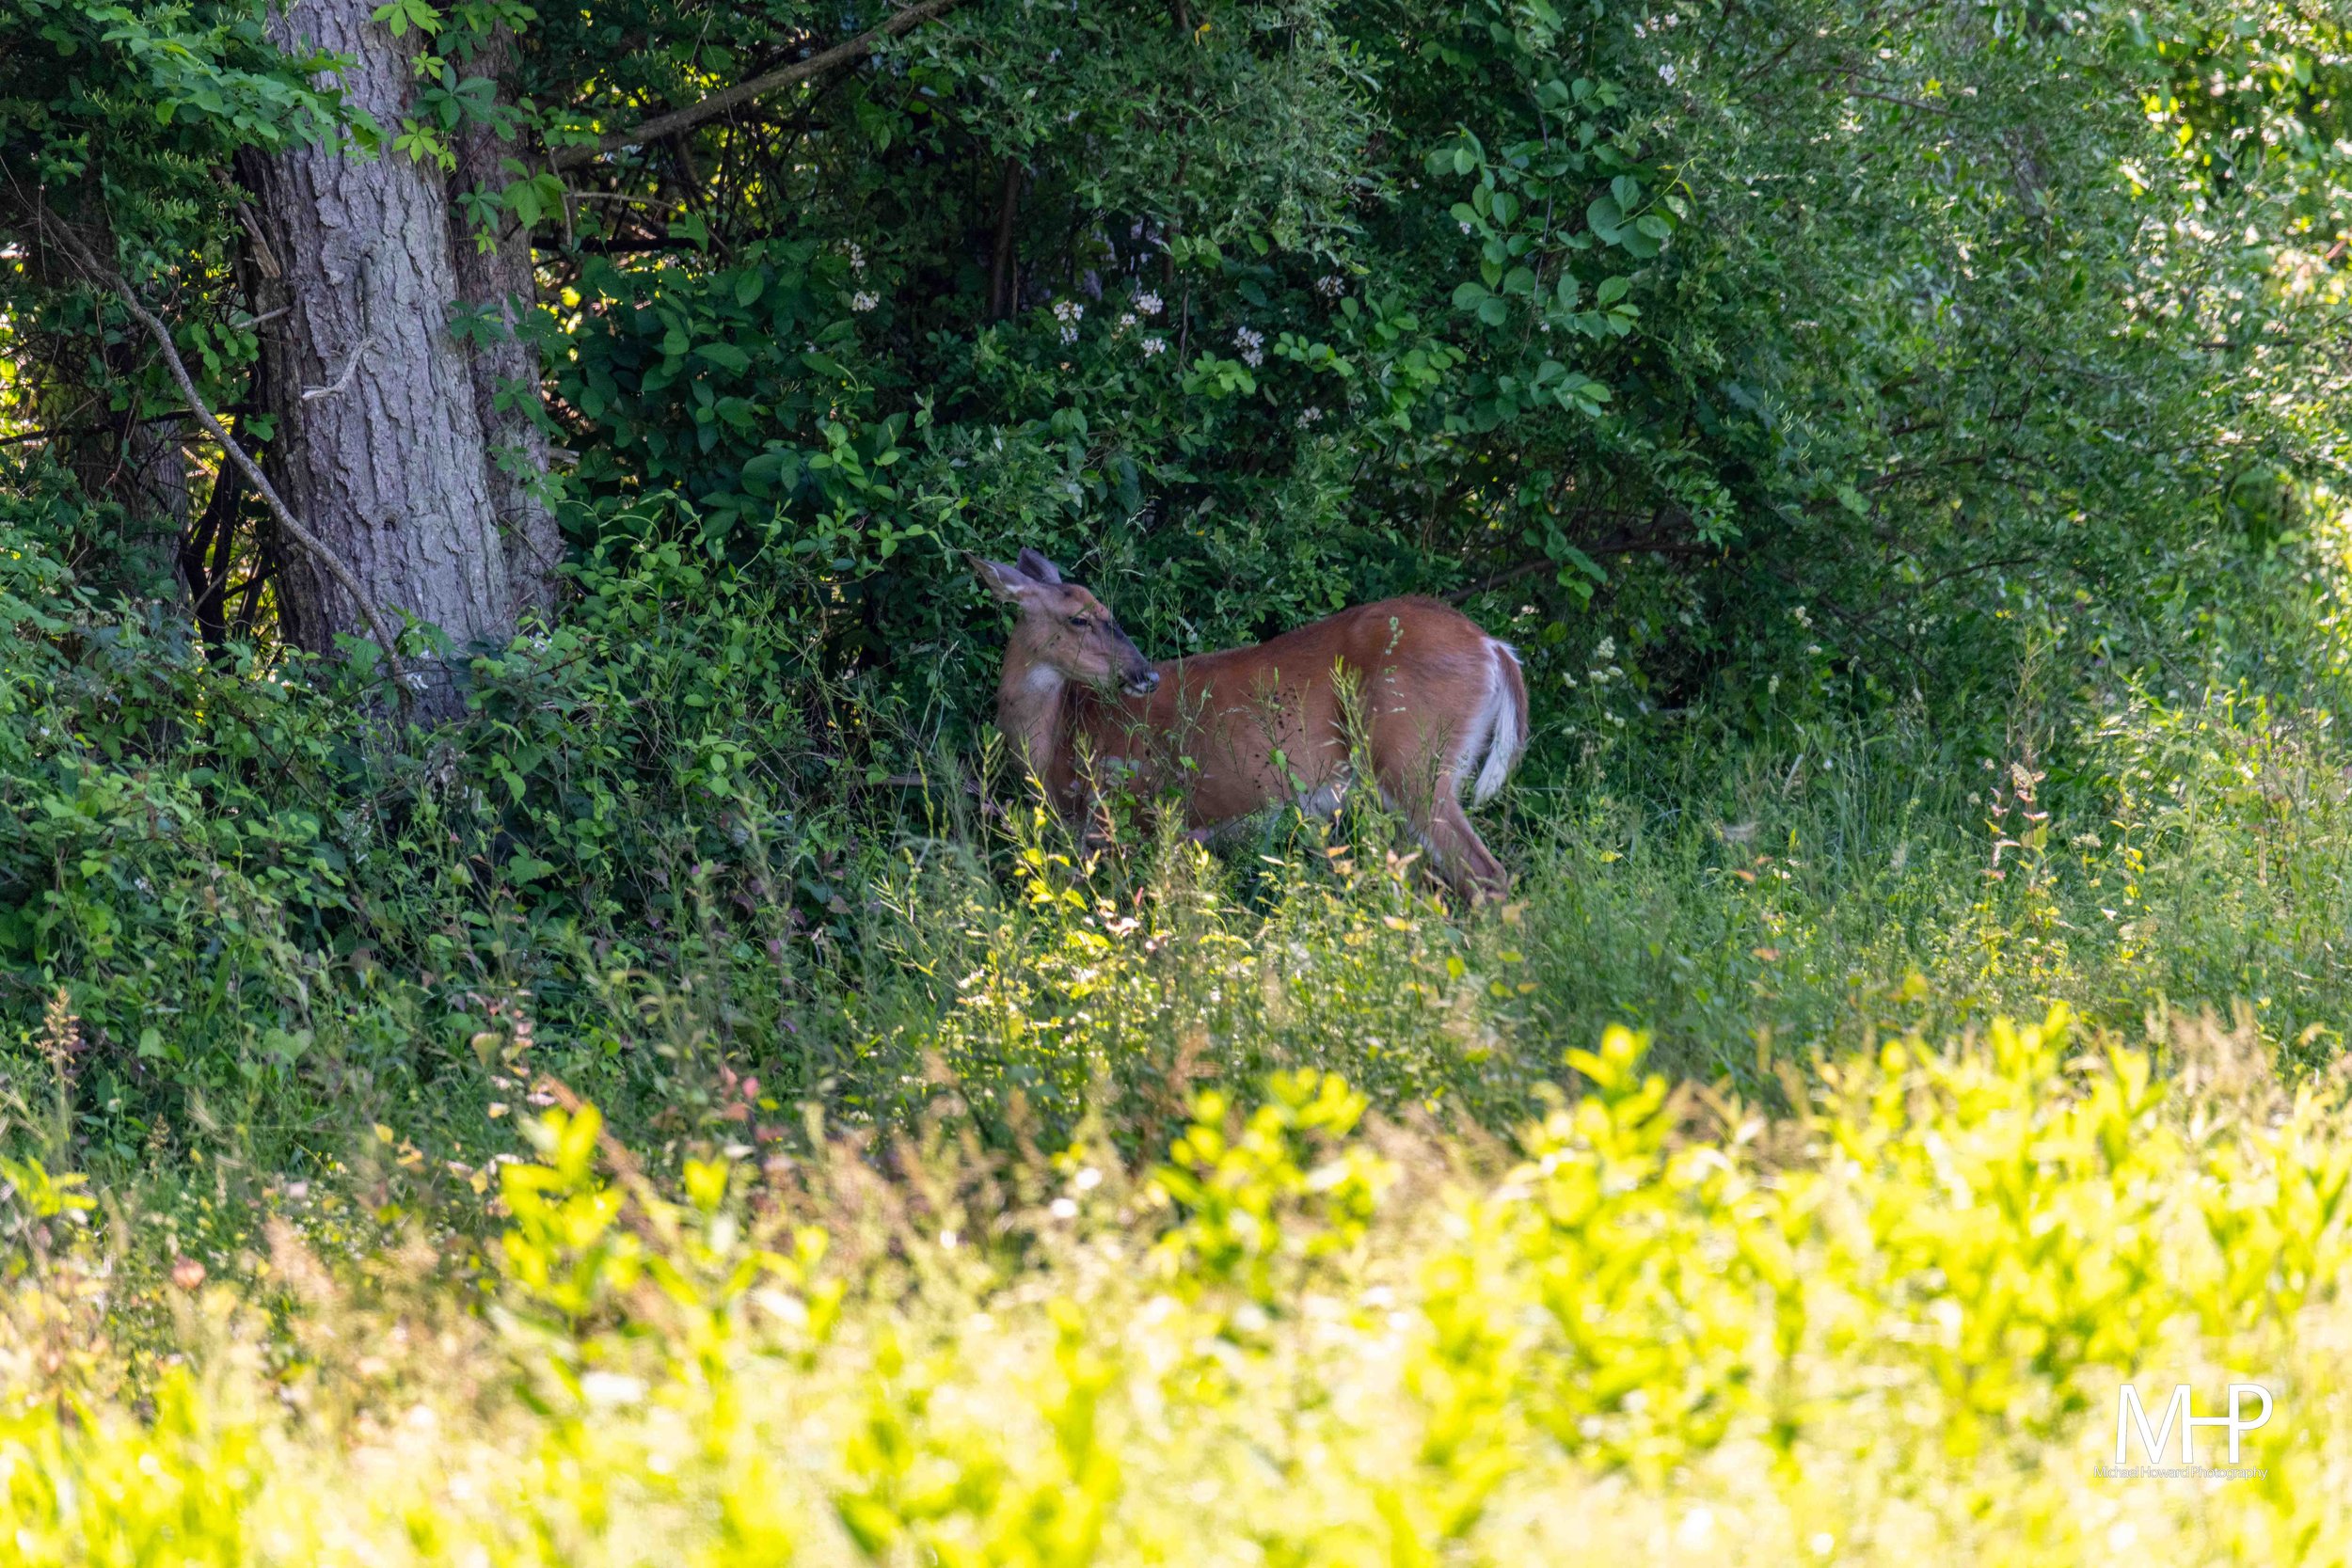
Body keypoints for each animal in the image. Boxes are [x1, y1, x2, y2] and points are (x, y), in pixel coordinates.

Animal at [974, 548, 1528, 899]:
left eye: (1104, 610)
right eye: (1079, 618)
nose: (1144, 673)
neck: (1057, 739)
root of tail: (1494, 648)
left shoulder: (1132, 814)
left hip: (1414, 759)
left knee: (1488, 876)